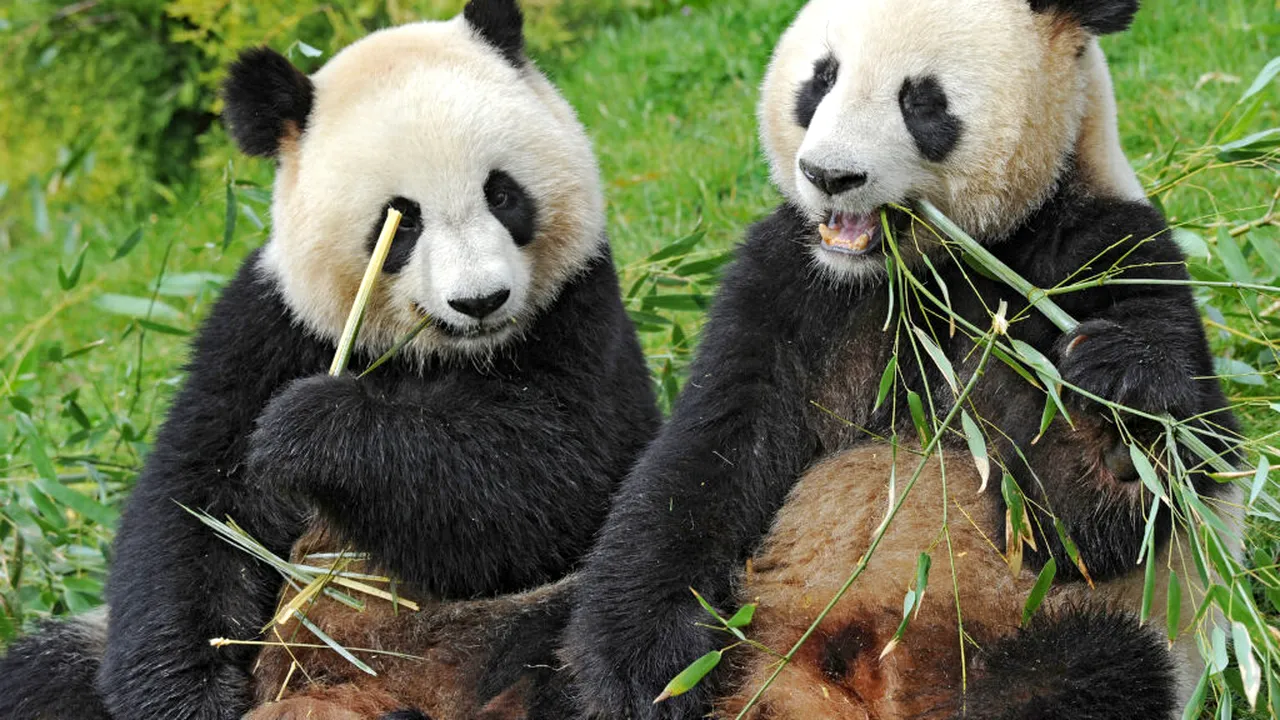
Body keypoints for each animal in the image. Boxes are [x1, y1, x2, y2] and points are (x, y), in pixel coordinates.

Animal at [0, 1, 660, 719]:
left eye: (502, 193)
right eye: (401, 219)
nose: (480, 300)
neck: (442, 354)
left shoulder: (579, 314)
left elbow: (556, 479)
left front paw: (309, 430)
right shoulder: (269, 326)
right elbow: (198, 507)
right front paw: (187, 695)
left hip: (526, 626)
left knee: (573, 645)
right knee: (42, 674)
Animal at [565, 1, 1240, 718]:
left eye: (922, 101)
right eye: (822, 78)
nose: (829, 176)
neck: (910, 271)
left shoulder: (1102, 252)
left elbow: (1095, 526)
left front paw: (1115, 418)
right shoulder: (788, 284)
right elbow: (704, 459)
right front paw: (647, 671)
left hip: (1042, 630)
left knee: (1095, 667)